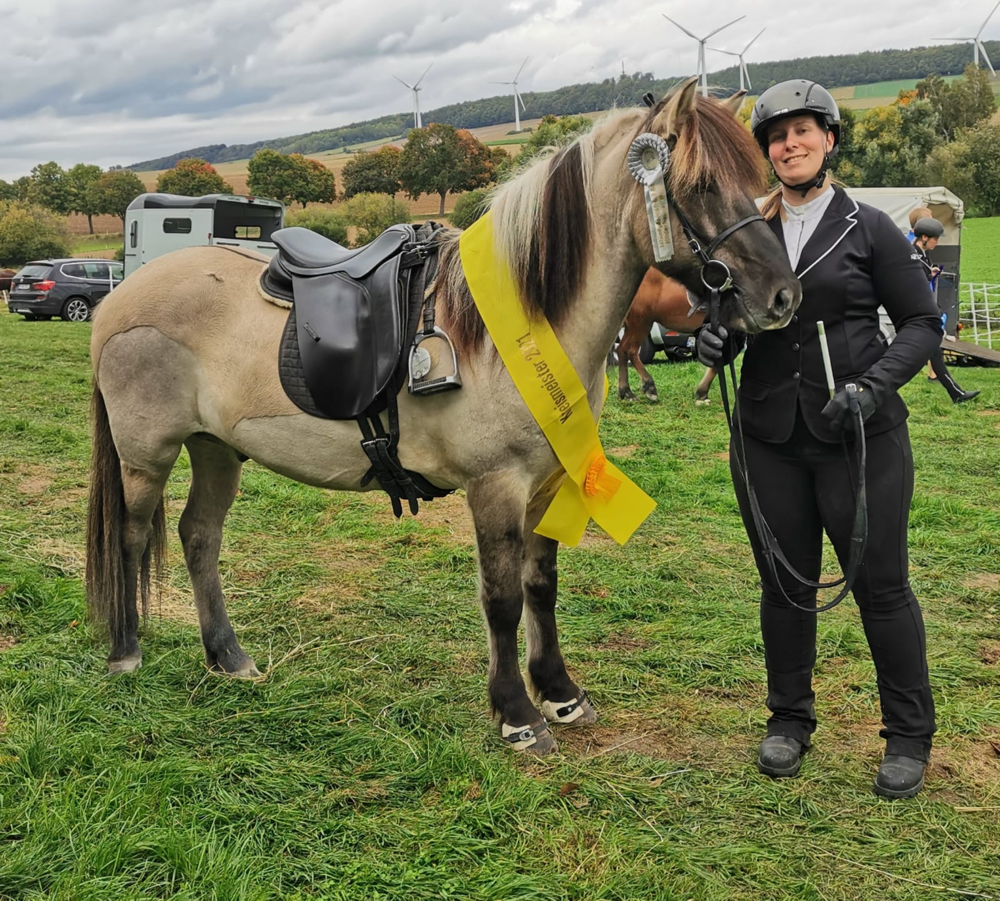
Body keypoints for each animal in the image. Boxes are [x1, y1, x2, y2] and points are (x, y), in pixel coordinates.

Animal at [615, 268, 720, 405]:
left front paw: (702, 393)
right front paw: (702, 393)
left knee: (621, 349)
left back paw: (627, 392)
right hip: (641, 322)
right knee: (629, 350)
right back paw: (648, 387)